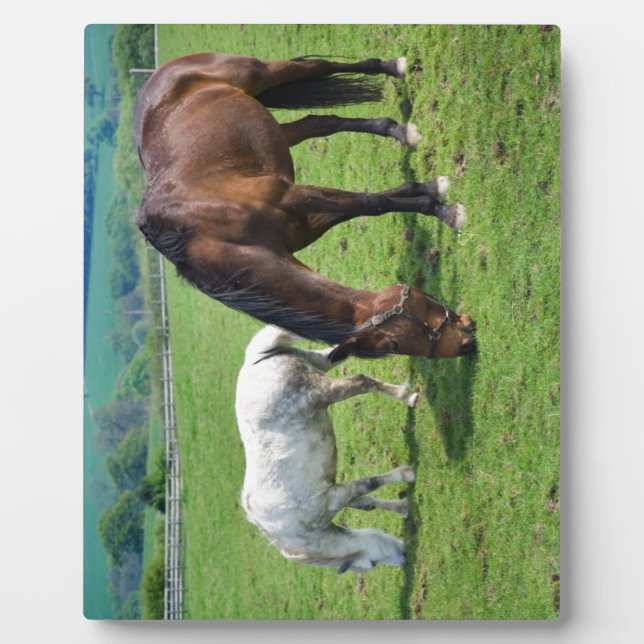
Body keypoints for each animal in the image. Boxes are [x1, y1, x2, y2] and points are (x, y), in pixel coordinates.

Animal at [135, 52, 476, 361]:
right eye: (394, 344)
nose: (466, 343)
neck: (212, 231)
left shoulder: (290, 196)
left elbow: (372, 202)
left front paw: (446, 211)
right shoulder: (306, 221)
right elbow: (372, 202)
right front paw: (431, 194)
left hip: (261, 73)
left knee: (318, 68)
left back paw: (393, 67)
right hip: (278, 130)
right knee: (322, 123)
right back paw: (400, 131)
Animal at [235, 325, 418, 573]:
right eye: (374, 563)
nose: (404, 558)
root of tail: (254, 361)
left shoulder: (332, 498)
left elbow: (368, 484)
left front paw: (408, 474)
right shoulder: (335, 495)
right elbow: (366, 502)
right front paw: (403, 507)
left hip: (319, 392)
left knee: (361, 382)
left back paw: (408, 396)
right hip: (319, 362)